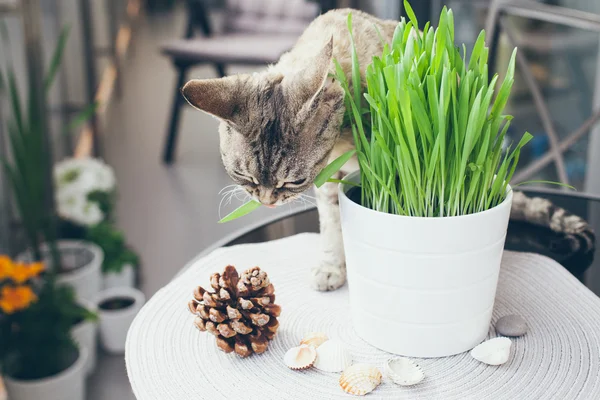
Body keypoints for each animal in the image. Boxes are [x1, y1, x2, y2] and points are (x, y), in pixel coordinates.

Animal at [180, 9, 592, 290]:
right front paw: (332, 267)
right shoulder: (329, 182)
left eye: (291, 182)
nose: (265, 201)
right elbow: (331, 227)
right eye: (243, 176)